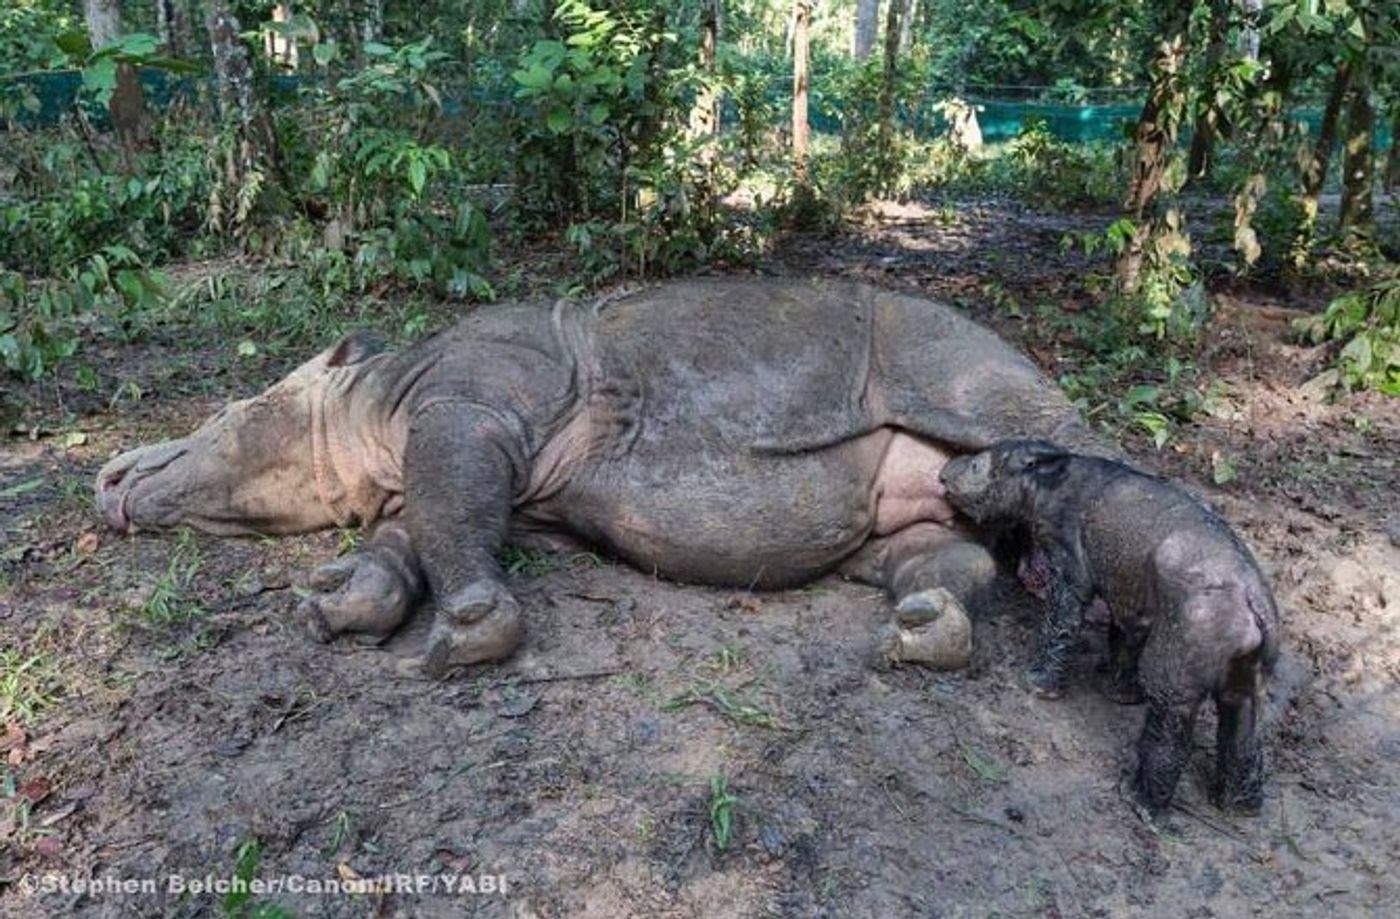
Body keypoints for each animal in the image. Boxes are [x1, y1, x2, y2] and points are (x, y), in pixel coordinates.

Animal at [98, 278, 1103, 675]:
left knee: (1036, 431)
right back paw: (924, 626)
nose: (109, 478)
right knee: (929, 547)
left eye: (220, 420)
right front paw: (341, 604)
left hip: (958, 357)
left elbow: (448, 517)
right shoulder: (483, 473)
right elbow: (423, 530)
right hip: (918, 499)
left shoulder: (473, 404)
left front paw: (468, 632)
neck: (369, 402)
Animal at [940, 442, 1282, 812]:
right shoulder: (1132, 596)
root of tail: (1254, 599)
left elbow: (1062, 620)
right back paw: (1239, 806)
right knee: (1244, 726)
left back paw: (1141, 801)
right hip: (1249, 670)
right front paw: (1120, 694)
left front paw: (1038, 684)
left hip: (1189, 643)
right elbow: (1125, 636)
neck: (1047, 479)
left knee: (1172, 719)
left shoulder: (1067, 558)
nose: (943, 473)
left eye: (977, 465)